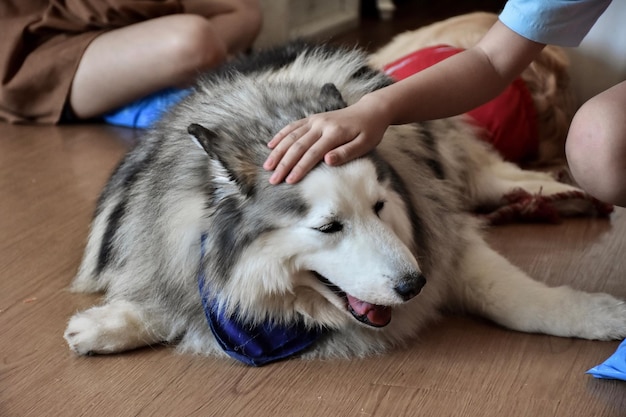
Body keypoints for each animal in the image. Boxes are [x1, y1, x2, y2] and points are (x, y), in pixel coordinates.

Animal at [64, 43, 624, 364]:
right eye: (330, 227)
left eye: (379, 207)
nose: (415, 285)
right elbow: (174, 300)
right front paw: (110, 324)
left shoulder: (445, 239)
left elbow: (513, 296)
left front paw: (597, 317)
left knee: (490, 175)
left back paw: (559, 192)